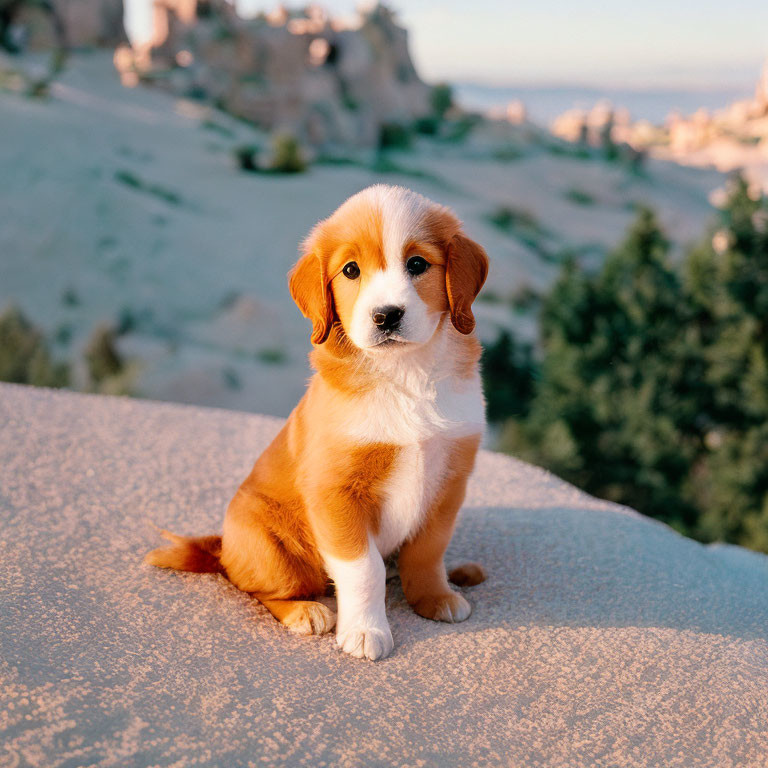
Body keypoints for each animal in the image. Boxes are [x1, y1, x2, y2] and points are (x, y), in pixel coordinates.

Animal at [147, 183, 488, 656]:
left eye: (418, 264)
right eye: (351, 270)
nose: (386, 315)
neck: (405, 375)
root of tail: (222, 547)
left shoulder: (449, 483)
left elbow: (429, 551)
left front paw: (433, 597)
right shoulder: (336, 491)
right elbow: (363, 569)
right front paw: (365, 631)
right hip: (270, 545)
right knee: (252, 585)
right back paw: (305, 611)